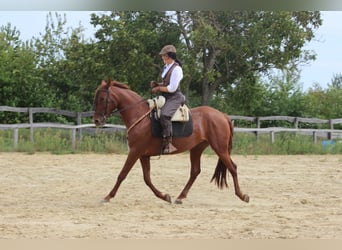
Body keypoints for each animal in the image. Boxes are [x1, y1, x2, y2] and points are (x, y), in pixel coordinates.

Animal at [93, 79, 248, 204]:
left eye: (102, 98)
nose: (97, 121)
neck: (139, 116)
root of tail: (222, 115)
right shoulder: (143, 155)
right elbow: (147, 178)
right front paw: (164, 196)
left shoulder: (135, 152)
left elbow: (122, 174)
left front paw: (108, 196)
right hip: (197, 148)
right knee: (195, 171)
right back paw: (180, 197)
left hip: (220, 148)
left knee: (233, 167)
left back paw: (242, 195)